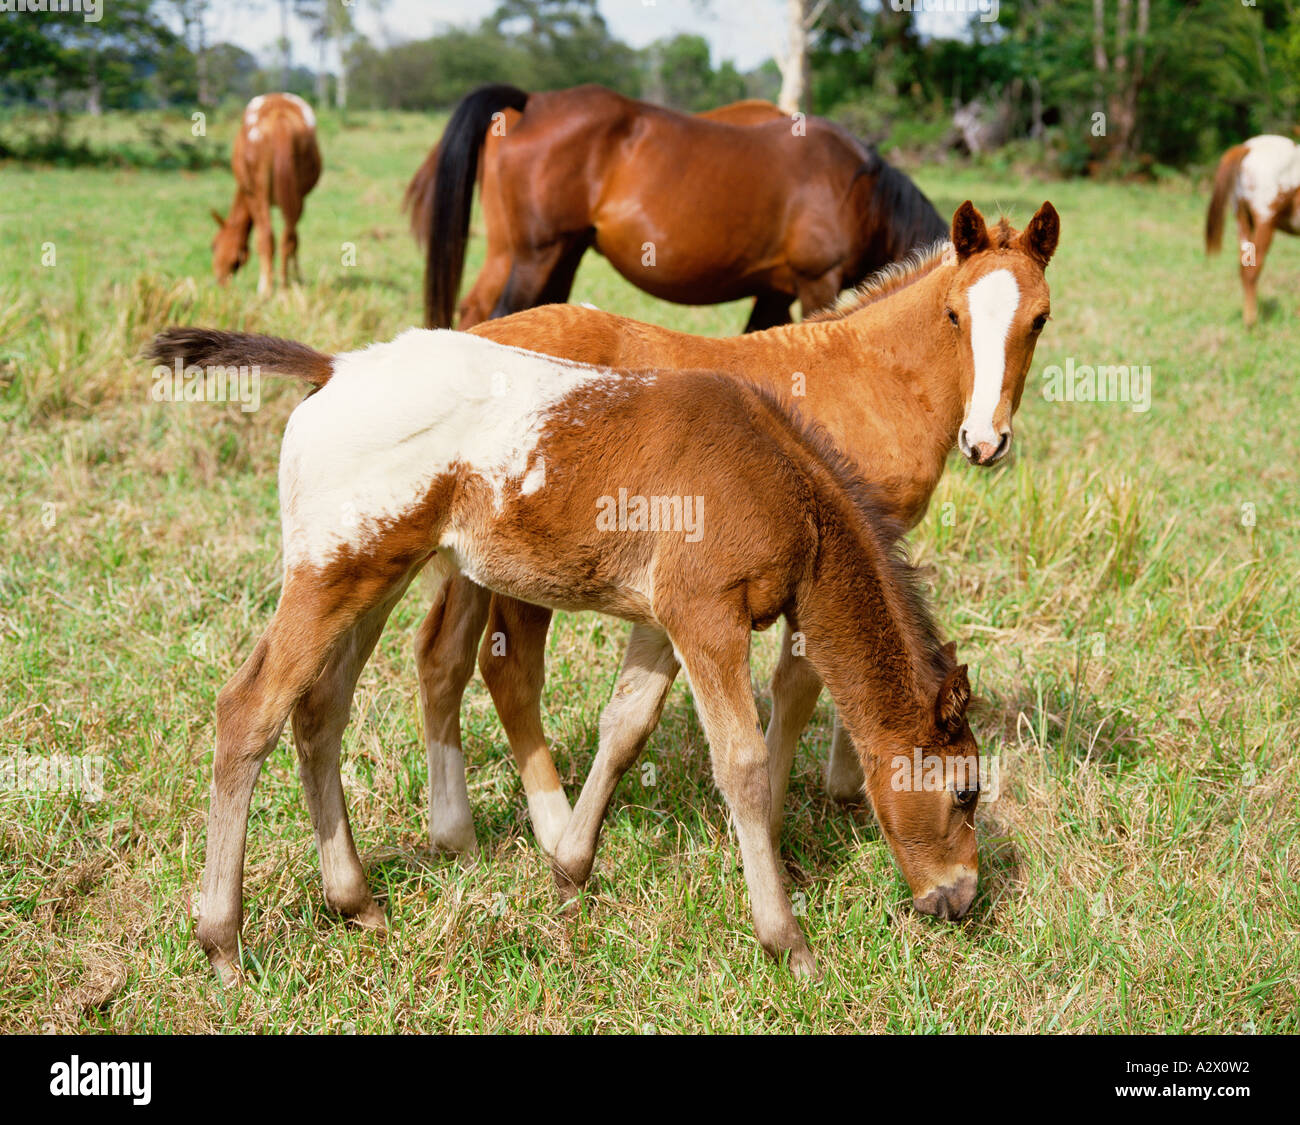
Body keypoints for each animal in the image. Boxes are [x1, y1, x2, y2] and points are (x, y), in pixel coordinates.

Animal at [148, 325, 983, 982]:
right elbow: (742, 764)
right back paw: (222, 940)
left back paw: (355, 901)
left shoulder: (664, 619)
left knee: (320, 711)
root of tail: (338, 367)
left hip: (374, 577)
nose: (962, 898)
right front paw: (787, 940)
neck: (782, 480)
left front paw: (569, 868)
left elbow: (625, 727)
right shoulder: (707, 615)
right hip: (329, 577)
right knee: (248, 710)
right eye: (966, 792)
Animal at [211, 93, 322, 296]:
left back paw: (265, 288)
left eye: (213, 246)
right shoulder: (299, 199)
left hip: (259, 192)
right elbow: (296, 240)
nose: (220, 281)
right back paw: (285, 284)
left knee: (267, 237)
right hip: (297, 195)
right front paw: (298, 278)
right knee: (289, 237)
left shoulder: (250, 195)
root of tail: (278, 114)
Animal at [403, 83, 947, 331]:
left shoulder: (774, 292)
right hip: (536, 254)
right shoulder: (817, 282)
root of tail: (532, 102)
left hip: (547, 255)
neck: (860, 193)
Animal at [411, 201, 1059, 860]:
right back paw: (555, 829)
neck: (873, 379)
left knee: (441, 657)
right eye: (954, 315)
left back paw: (454, 832)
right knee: (509, 671)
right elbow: (798, 684)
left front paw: (850, 780)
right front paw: (785, 813)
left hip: (471, 551)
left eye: (1039, 319)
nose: (984, 441)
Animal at [1206, 134, 1300, 326]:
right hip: (1265, 221)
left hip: (1242, 220)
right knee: (1252, 271)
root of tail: (1248, 147)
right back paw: (1252, 323)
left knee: (1243, 268)